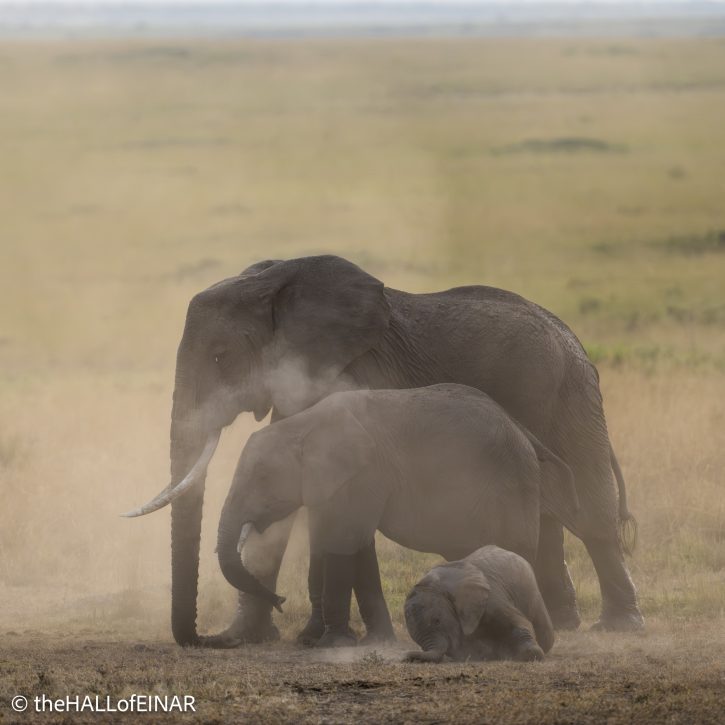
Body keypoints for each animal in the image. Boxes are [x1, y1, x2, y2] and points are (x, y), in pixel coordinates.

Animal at [214, 384, 580, 647]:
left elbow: (344, 544)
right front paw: (376, 642)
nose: (280, 600)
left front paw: (332, 646)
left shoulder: (362, 476)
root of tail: (524, 433)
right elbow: (359, 547)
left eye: (262, 478)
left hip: (511, 488)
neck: (303, 426)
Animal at [404, 545, 554, 663]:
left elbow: (521, 623)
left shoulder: (492, 599)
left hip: (531, 589)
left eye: (437, 621)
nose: (406, 657)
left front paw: (531, 654)